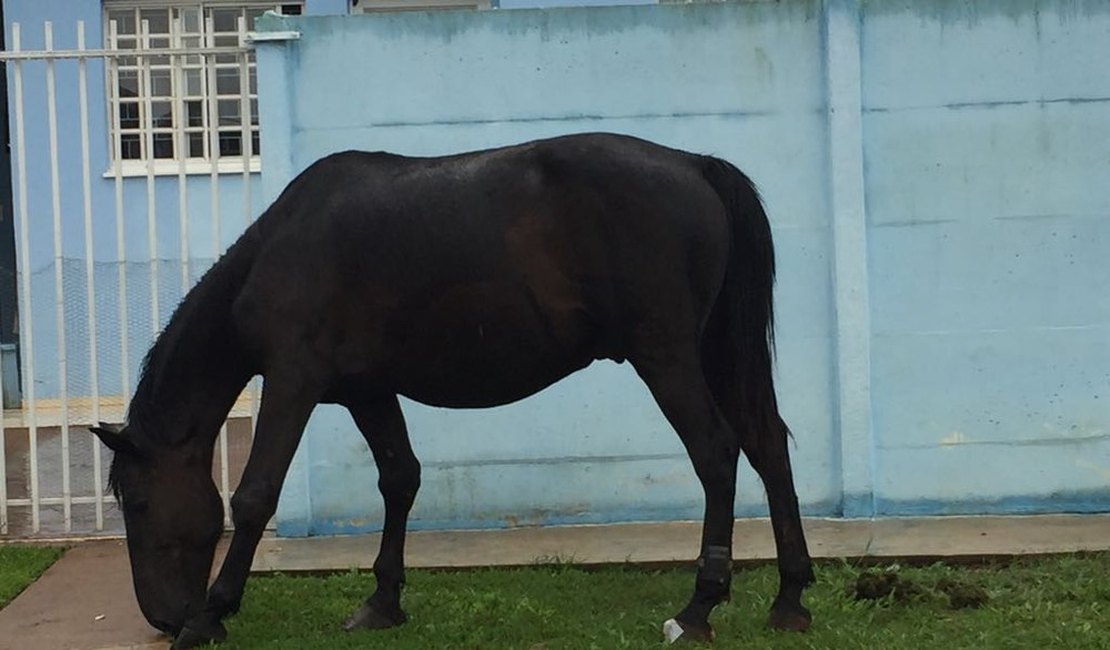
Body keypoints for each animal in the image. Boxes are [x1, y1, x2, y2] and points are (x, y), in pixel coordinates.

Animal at [88, 133, 816, 647]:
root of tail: (695, 166)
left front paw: (211, 615)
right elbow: (400, 478)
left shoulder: (293, 382)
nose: (161, 616)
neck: (281, 249)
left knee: (717, 453)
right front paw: (382, 602)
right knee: (766, 444)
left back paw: (697, 608)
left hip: (666, 357)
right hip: (715, 351)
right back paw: (790, 599)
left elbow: (255, 494)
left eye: (140, 503)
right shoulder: (368, 392)